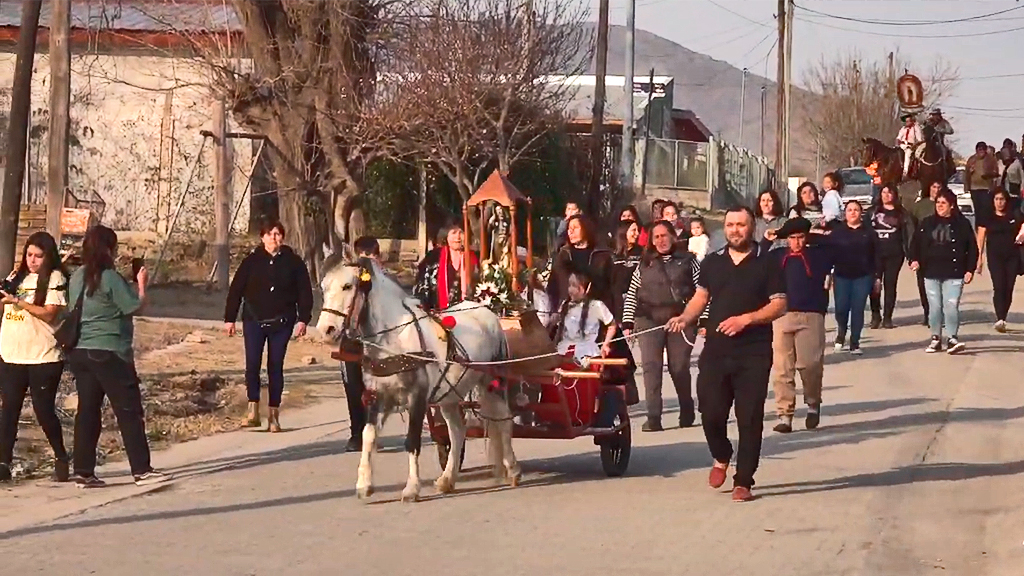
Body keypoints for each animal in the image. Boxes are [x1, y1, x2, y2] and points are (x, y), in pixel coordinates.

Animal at [315, 249, 524, 500]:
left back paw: (513, 468)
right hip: (449, 395)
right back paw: (447, 478)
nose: (326, 330)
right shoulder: (378, 396)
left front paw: (411, 488)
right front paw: (364, 484)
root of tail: (486, 312)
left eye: (347, 286)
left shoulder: (417, 397)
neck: (393, 340)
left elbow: (412, 441)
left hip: (492, 383)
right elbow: (369, 436)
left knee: (504, 420)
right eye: (323, 287)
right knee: (457, 431)